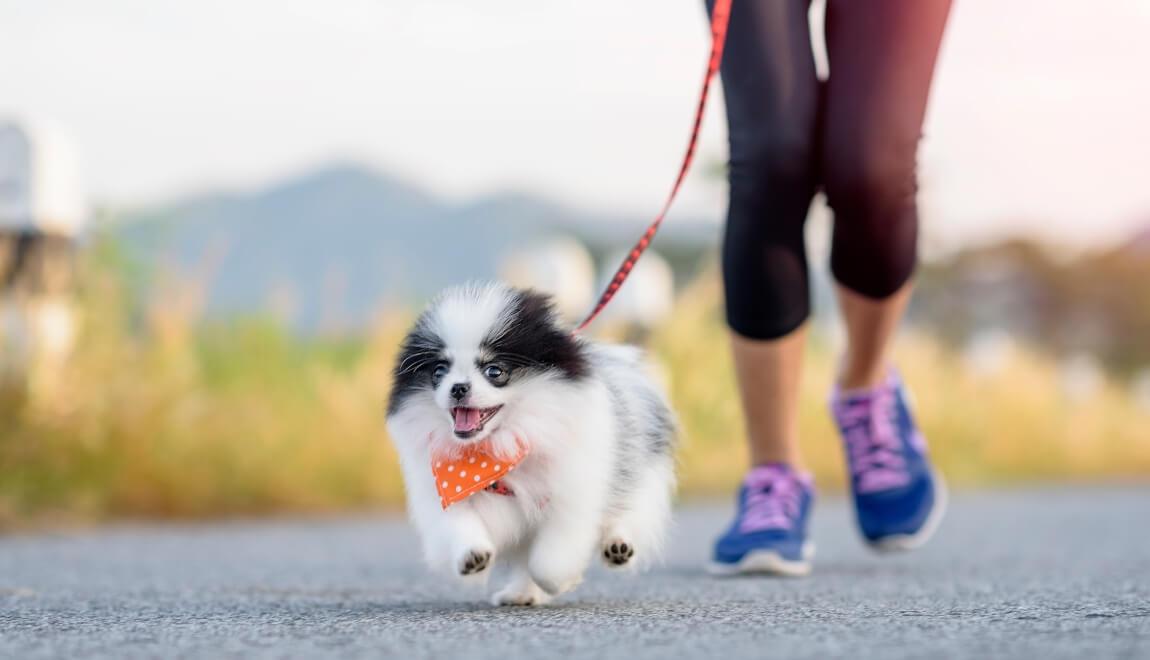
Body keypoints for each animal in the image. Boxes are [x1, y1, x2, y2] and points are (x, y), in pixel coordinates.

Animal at [386, 281, 671, 607]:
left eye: (494, 371)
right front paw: (472, 555)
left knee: (629, 511)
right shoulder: (445, 489)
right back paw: (521, 593)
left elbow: (550, 559)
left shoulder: (570, 492)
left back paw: (618, 546)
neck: (496, 450)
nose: (458, 388)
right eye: (438, 372)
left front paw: (560, 580)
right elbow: (458, 524)